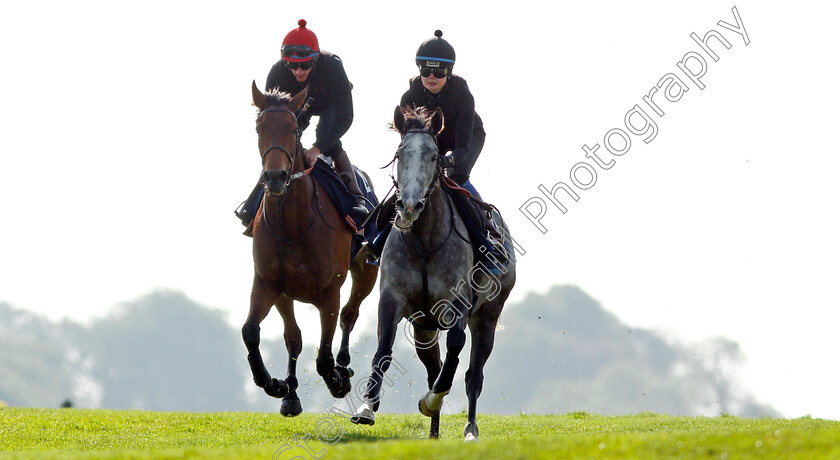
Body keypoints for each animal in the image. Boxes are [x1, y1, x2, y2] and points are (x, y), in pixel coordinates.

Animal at [241, 82, 376, 416]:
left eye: (293, 130)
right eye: (259, 127)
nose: (275, 177)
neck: (292, 226)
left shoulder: (329, 291)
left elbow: (324, 357)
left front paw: (338, 380)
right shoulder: (270, 284)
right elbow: (257, 333)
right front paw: (278, 386)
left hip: (367, 271)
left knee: (350, 315)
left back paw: (344, 365)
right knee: (296, 335)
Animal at [352, 106, 516, 440]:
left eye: (433, 156)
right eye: (400, 153)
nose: (409, 205)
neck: (424, 241)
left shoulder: (459, 303)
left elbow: (454, 349)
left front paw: (431, 401)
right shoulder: (393, 298)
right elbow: (384, 349)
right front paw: (367, 407)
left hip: (487, 317)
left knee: (473, 375)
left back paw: (469, 429)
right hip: (424, 327)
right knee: (433, 367)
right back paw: (434, 433)